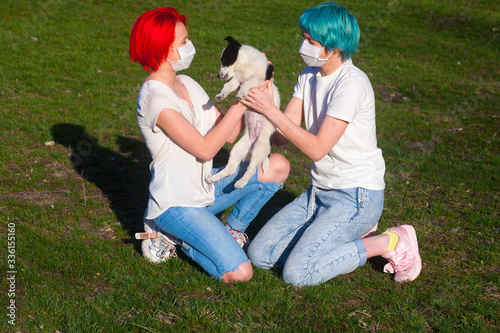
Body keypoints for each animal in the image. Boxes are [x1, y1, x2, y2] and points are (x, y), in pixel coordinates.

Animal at [205, 36, 280, 188]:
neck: (245, 65)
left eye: (224, 60)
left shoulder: (258, 78)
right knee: (231, 169)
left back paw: (240, 183)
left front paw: (241, 94)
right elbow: (227, 86)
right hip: (238, 149)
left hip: (259, 147)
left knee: (251, 170)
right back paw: (213, 179)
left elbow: (246, 83)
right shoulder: (236, 80)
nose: (218, 75)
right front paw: (220, 96)